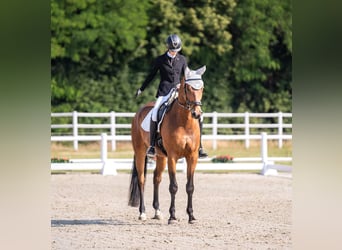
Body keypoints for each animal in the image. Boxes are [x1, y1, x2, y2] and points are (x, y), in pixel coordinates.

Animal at [128, 65, 206, 224]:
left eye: (202, 88)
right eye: (188, 88)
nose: (197, 113)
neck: (184, 121)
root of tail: (139, 112)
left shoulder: (192, 157)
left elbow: (190, 187)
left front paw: (191, 216)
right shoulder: (172, 157)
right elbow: (173, 186)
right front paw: (173, 217)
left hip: (160, 157)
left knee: (156, 178)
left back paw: (157, 212)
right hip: (140, 153)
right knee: (142, 180)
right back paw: (142, 213)